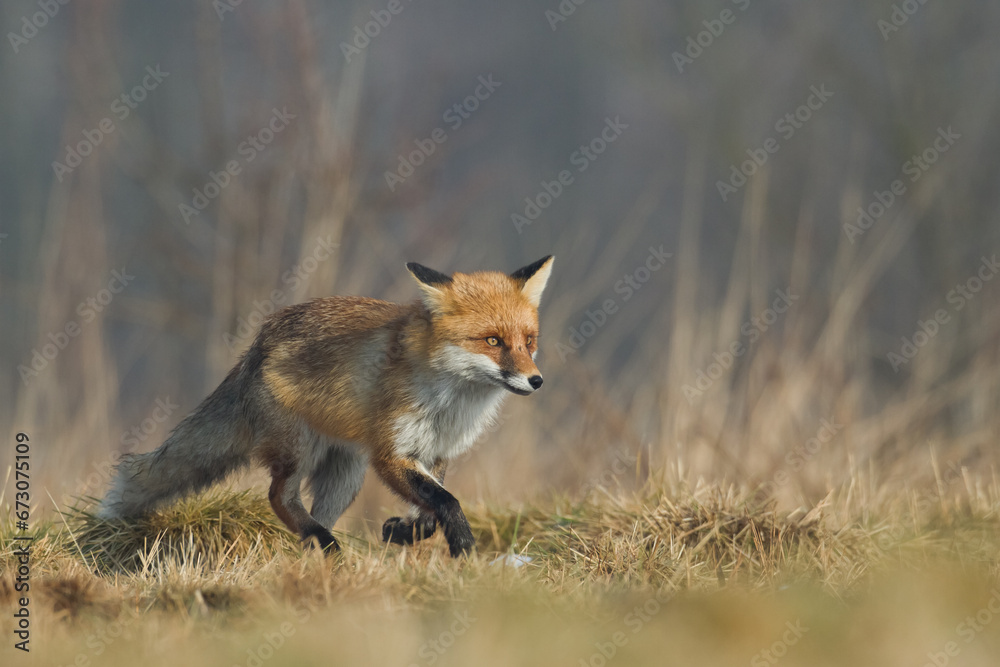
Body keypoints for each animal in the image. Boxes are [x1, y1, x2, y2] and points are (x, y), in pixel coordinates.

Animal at [98, 255, 554, 557]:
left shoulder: (436, 450)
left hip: (346, 473)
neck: (453, 399)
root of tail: (256, 346)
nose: (536, 381)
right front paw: (462, 545)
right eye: (493, 341)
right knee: (279, 496)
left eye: (528, 341)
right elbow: (446, 501)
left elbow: (432, 505)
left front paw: (405, 531)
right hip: (300, 449)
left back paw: (317, 551)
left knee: (311, 508)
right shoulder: (390, 452)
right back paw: (325, 544)